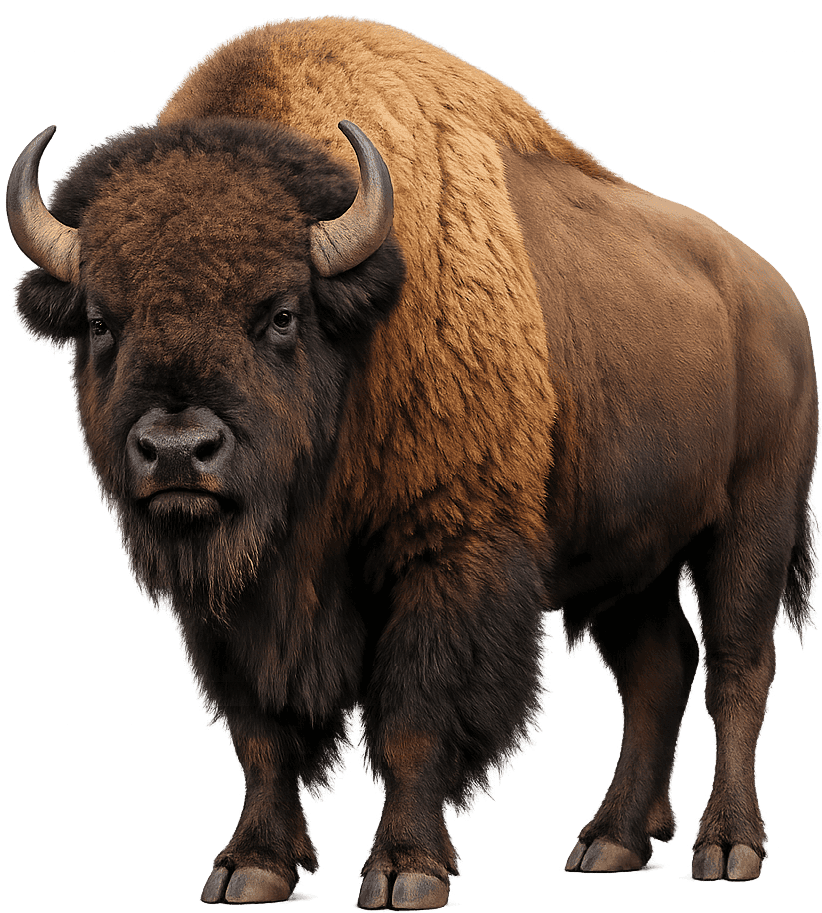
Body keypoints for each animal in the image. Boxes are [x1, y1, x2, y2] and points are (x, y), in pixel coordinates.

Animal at [7, 16, 817, 909]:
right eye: (100, 321)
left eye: (281, 313)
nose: (179, 450)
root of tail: (775, 296)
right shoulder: (234, 605)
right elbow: (262, 731)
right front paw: (249, 865)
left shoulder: (447, 554)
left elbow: (414, 718)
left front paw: (405, 870)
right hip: (632, 557)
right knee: (657, 670)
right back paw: (608, 841)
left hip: (751, 523)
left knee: (737, 670)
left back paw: (727, 847)